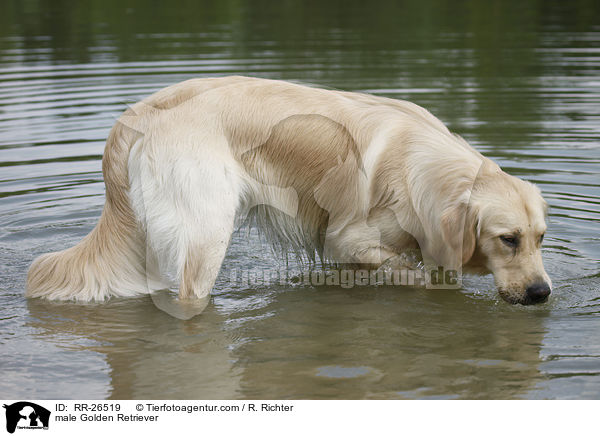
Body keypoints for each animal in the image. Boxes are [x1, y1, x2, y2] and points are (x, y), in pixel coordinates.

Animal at [28, 76, 552, 306]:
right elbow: (414, 275)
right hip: (206, 235)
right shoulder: (347, 239)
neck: (423, 167)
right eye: (508, 239)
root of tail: (138, 113)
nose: (542, 292)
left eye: (541, 237)